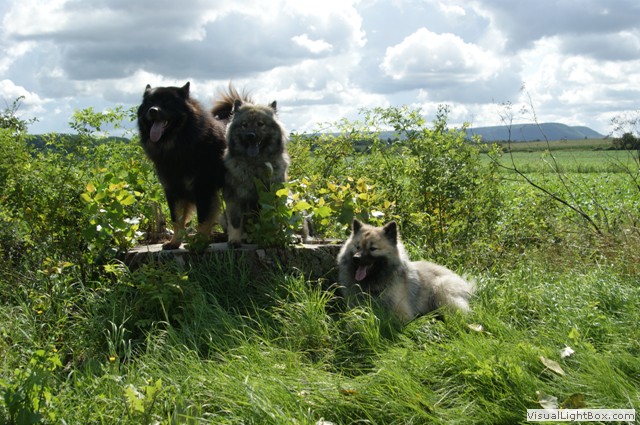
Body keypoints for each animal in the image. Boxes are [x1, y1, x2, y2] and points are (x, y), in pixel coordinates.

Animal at [137, 82, 227, 250]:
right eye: (150, 103)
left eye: (167, 103)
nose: (153, 110)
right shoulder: (173, 190)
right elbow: (176, 220)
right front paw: (174, 242)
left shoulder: (202, 188)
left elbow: (202, 220)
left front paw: (199, 242)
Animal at [213, 90, 289, 247]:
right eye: (244, 125)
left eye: (260, 124)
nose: (250, 135)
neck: (255, 164)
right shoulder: (234, 197)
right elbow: (235, 222)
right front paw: (235, 240)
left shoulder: (274, 193)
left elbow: (275, 217)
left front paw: (276, 236)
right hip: (222, 216)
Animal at [337, 219, 473, 323]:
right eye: (357, 247)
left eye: (373, 248)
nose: (356, 258)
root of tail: (465, 284)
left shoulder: (401, 312)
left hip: (440, 290)